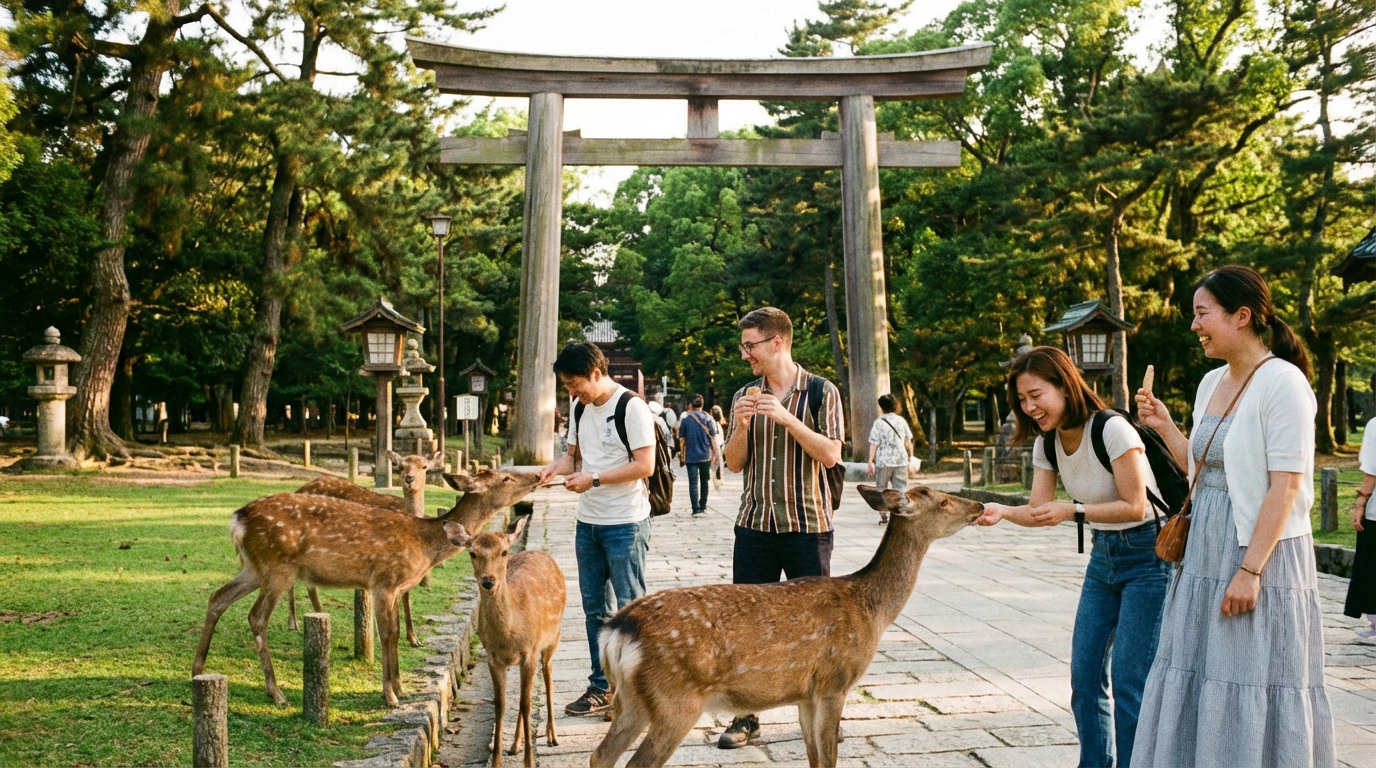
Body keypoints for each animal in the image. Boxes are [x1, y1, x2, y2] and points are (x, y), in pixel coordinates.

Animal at [286, 451, 444, 641]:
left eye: (424, 466)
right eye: (400, 466)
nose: (409, 478)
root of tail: (298, 490)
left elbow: (406, 594)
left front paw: (413, 638)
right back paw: (297, 622)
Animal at [465, 515, 565, 768]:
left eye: (504, 552)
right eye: (472, 553)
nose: (488, 581)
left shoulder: (530, 651)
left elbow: (526, 704)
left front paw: (529, 761)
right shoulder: (493, 657)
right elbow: (501, 705)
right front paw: (497, 761)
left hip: (553, 637)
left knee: (548, 673)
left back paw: (552, 736)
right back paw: (514, 744)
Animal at [589, 485, 983, 768]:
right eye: (944, 501)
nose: (980, 506)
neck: (872, 611)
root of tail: (617, 631)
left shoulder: (805, 693)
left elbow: (815, 758)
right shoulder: (834, 681)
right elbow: (828, 759)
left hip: (632, 699)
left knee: (600, 755)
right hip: (677, 698)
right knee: (636, 763)